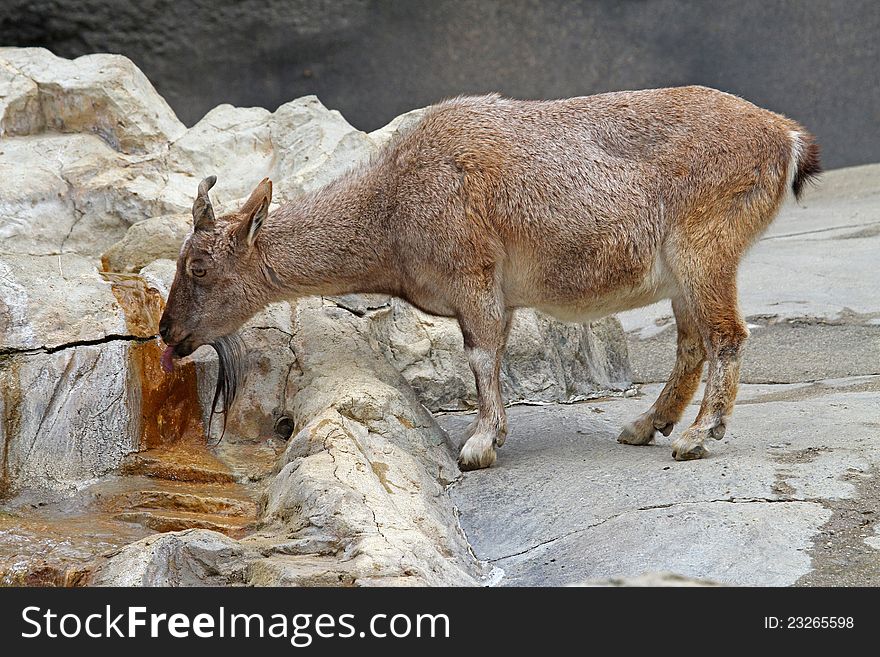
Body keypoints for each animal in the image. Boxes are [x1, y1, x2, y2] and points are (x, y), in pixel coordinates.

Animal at [156, 87, 820, 468]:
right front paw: (488, 436)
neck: (392, 206)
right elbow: (486, 355)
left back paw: (698, 437)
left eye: (198, 266)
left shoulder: (473, 276)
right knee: (691, 343)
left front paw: (479, 445)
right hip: (684, 273)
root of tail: (784, 137)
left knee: (726, 335)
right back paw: (642, 426)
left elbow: (480, 354)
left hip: (704, 251)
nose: (167, 333)